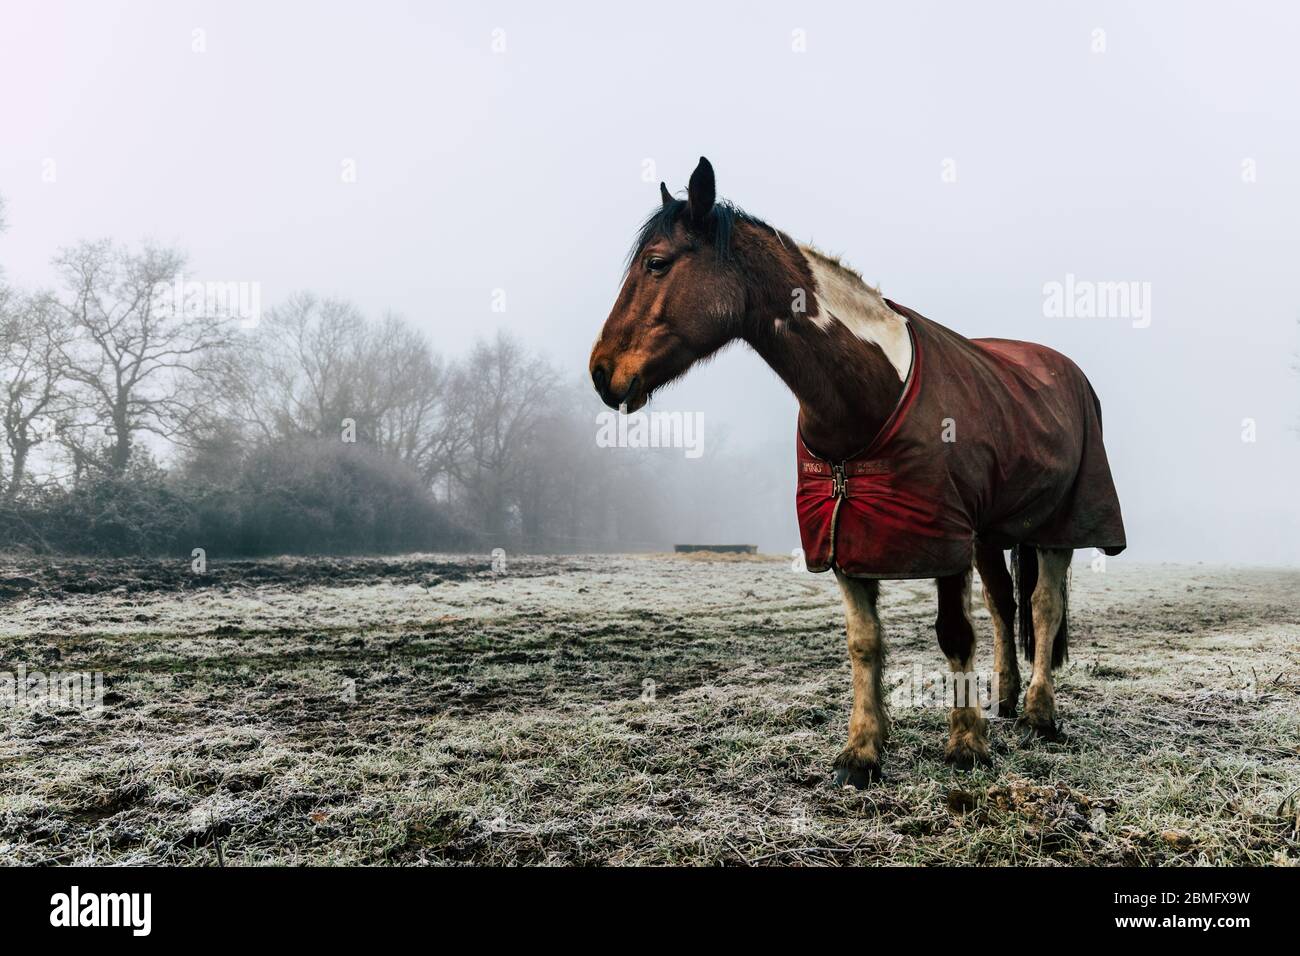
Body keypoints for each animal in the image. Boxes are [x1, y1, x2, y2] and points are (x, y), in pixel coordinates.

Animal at [588, 157, 1125, 787]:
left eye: (657, 262)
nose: (601, 373)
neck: (871, 393)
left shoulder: (942, 540)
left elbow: (954, 633)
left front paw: (966, 745)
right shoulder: (846, 537)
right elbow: (864, 643)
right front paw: (863, 752)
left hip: (1058, 526)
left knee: (1043, 607)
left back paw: (1040, 714)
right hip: (989, 533)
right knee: (1004, 605)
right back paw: (1007, 699)